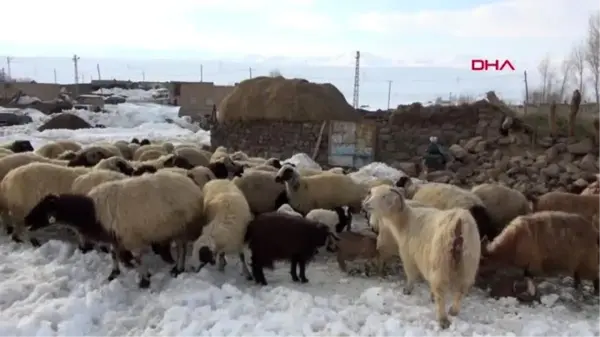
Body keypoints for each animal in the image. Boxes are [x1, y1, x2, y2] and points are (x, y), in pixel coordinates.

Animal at [360, 184, 482, 328]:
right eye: (372, 193)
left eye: (384, 196)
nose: (366, 204)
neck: (405, 221)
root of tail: (459, 223)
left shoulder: (408, 255)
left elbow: (411, 275)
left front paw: (407, 290)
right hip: (468, 263)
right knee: (461, 290)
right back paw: (453, 311)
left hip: (441, 261)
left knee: (441, 293)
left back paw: (443, 319)